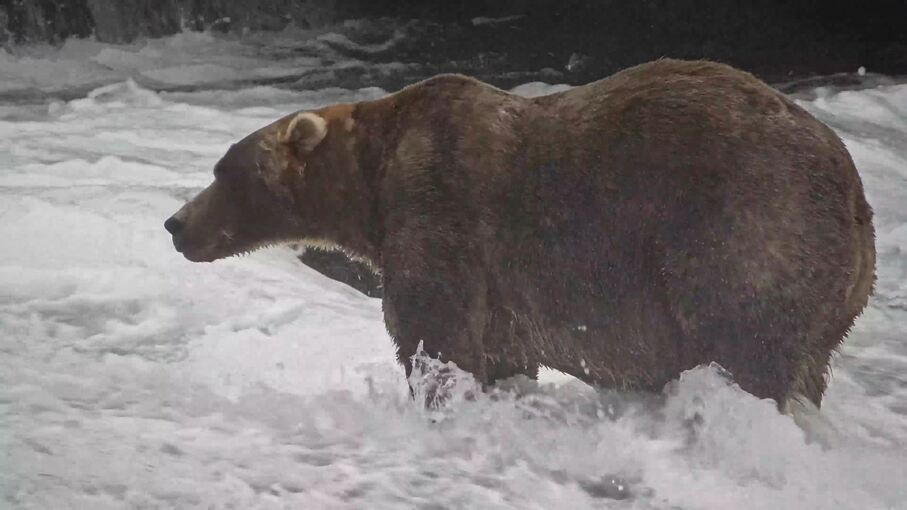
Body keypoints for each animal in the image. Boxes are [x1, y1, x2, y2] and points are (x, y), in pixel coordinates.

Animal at [164, 59, 875, 409]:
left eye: (224, 170)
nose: (176, 224)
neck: (371, 182)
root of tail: (855, 193)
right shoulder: (503, 291)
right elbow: (501, 351)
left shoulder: (442, 208)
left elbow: (434, 330)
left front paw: (436, 395)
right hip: (833, 296)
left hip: (744, 228)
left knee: (743, 340)